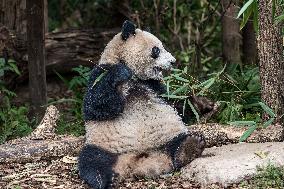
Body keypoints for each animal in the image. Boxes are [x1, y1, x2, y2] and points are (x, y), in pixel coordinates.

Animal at [79, 19, 205, 188]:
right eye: (156, 49)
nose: (173, 61)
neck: (135, 76)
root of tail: (136, 162)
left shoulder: (154, 85)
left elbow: (175, 104)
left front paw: (202, 104)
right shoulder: (100, 73)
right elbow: (97, 105)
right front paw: (121, 72)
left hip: (168, 135)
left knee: (177, 143)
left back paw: (189, 147)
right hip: (104, 145)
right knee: (92, 160)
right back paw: (104, 180)